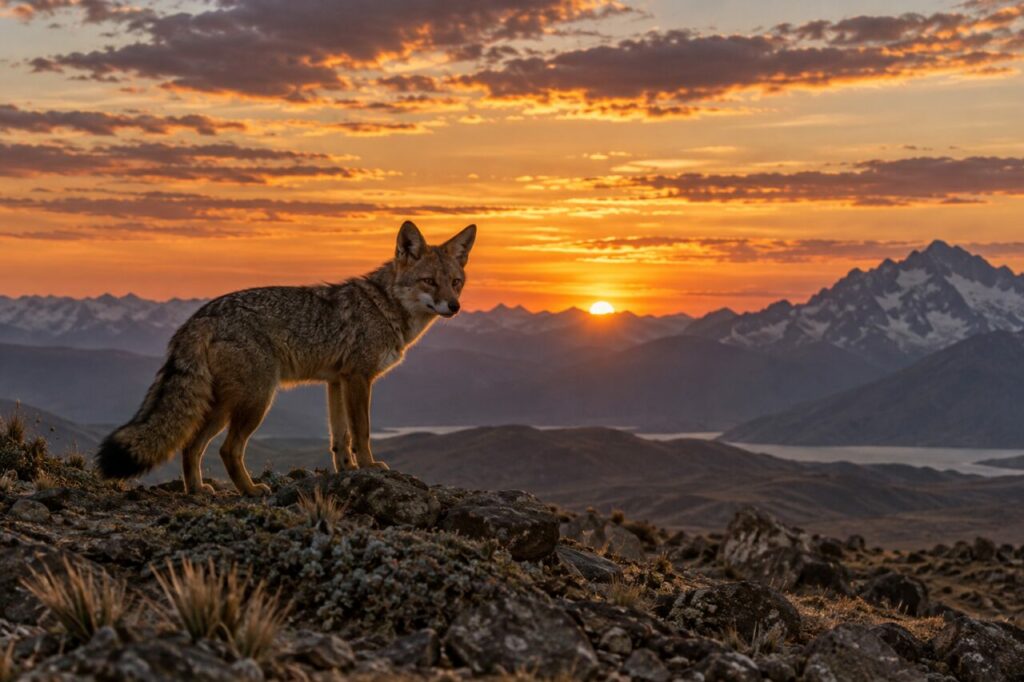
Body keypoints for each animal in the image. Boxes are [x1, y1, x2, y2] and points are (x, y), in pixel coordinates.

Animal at [95, 221, 476, 496]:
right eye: (429, 281)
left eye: (455, 282)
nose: (454, 307)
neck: (384, 306)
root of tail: (202, 315)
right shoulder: (358, 379)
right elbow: (363, 431)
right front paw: (370, 466)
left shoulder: (336, 382)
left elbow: (340, 438)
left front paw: (348, 471)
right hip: (256, 401)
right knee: (227, 450)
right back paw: (250, 491)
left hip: (221, 407)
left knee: (191, 447)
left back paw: (199, 491)